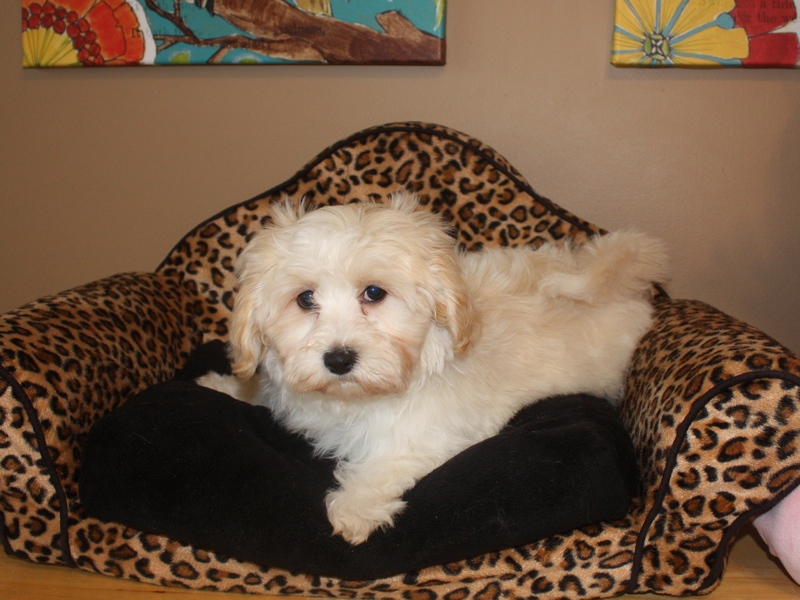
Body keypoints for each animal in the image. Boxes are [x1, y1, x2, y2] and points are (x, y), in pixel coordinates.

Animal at [198, 192, 668, 545]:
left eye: (374, 293)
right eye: (305, 299)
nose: (338, 359)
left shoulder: (424, 434)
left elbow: (386, 464)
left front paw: (353, 509)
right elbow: (261, 390)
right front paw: (223, 385)